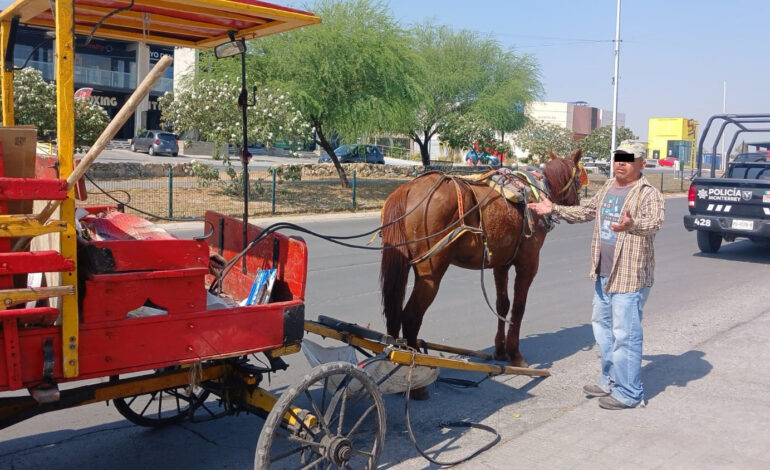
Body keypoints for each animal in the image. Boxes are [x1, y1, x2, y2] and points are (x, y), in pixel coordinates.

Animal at [380, 149, 586, 396]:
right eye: (578, 180)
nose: (577, 204)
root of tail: (408, 188)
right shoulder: (527, 264)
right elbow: (518, 308)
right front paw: (515, 354)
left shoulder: (501, 264)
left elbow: (502, 305)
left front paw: (500, 350)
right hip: (431, 274)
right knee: (411, 317)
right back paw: (417, 382)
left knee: (393, 317)